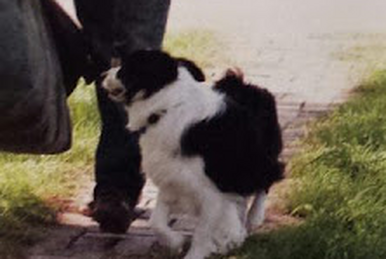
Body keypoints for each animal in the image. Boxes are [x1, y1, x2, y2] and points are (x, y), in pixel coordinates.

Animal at [102, 50, 284, 259]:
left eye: (124, 68)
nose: (103, 74)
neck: (167, 107)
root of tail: (244, 85)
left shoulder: (210, 192)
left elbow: (202, 232)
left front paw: (196, 252)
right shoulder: (172, 179)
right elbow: (156, 222)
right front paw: (177, 242)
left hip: (258, 158)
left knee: (268, 178)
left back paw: (254, 218)